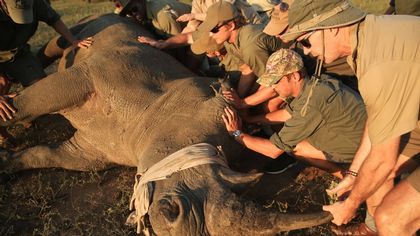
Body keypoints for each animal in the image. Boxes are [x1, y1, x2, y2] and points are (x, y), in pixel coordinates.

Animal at [1, 13, 334, 235]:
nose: (187, 224)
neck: (151, 116)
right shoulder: (94, 74)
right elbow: (31, 102)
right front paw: (6, 114)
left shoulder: (96, 149)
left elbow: (47, 155)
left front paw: (8, 163)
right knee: (61, 41)